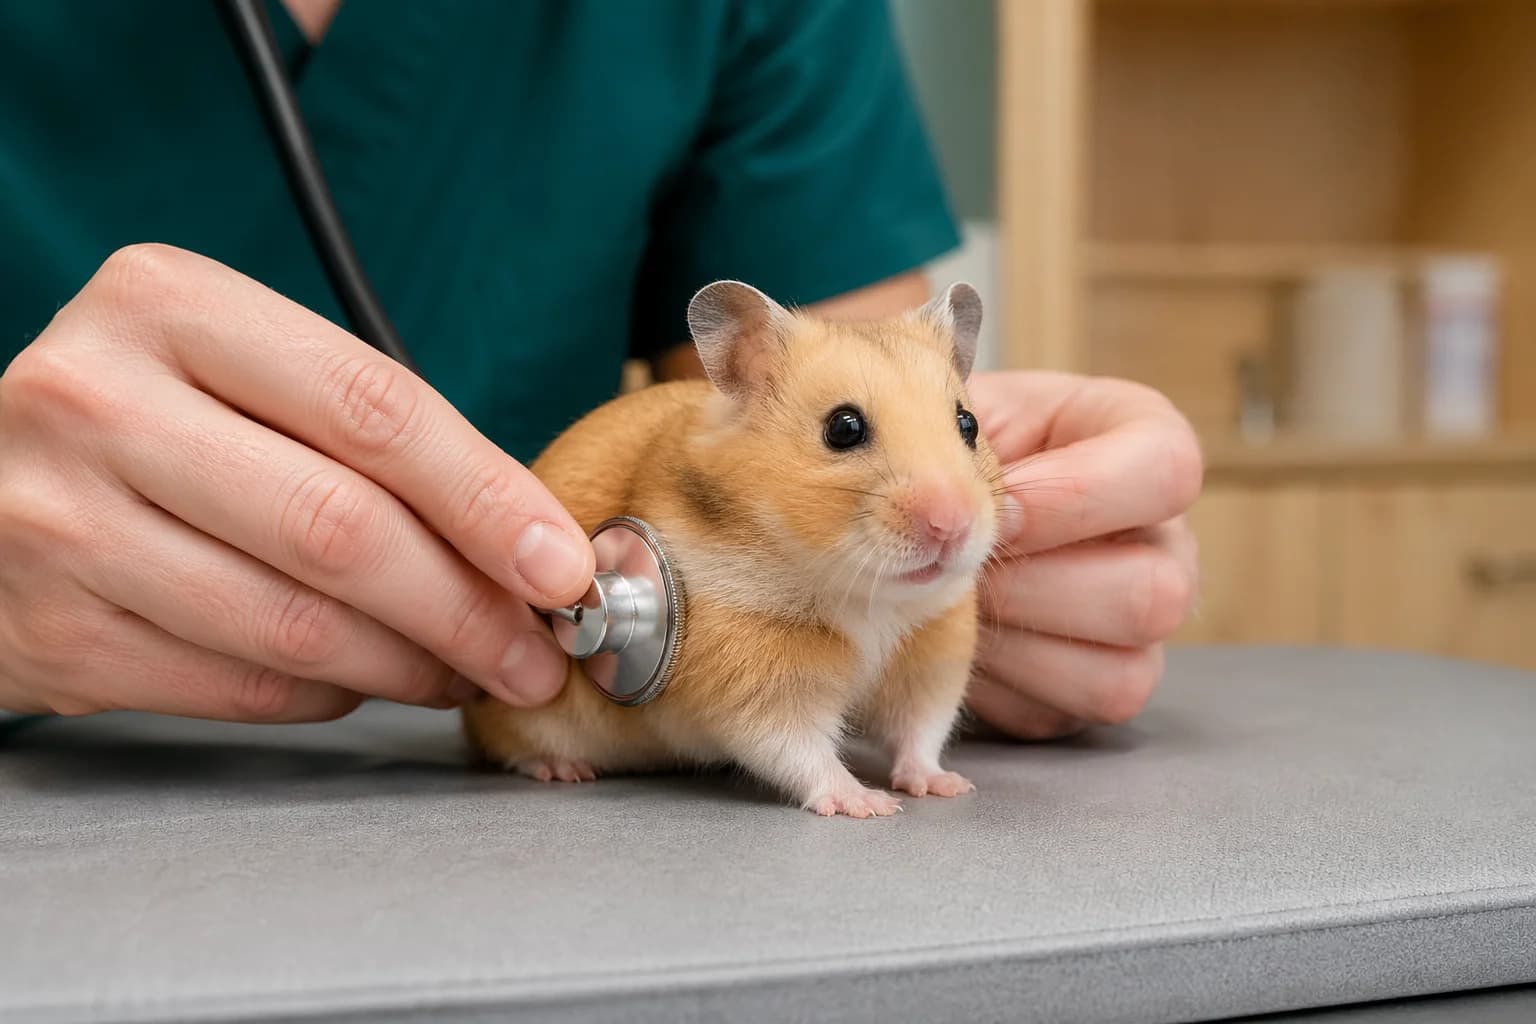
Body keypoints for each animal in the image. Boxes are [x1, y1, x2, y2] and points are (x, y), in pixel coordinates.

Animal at [461, 280, 1004, 818]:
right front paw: (870, 805)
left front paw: (948, 786)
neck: (863, 595)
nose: (952, 526)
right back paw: (563, 769)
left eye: (968, 424)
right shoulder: (750, 675)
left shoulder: (933, 654)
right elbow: (799, 747)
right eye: (843, 428)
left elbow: (920, 731)